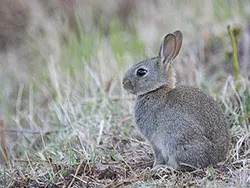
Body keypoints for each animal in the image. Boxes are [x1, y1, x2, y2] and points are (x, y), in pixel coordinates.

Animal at [122, 30, 231, 170]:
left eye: (141, 72)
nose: (124, 83)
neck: (156, 89)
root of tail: (215, 159)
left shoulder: (155, 141)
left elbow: (158, 155)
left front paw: (154, 167)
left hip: (177, 142)